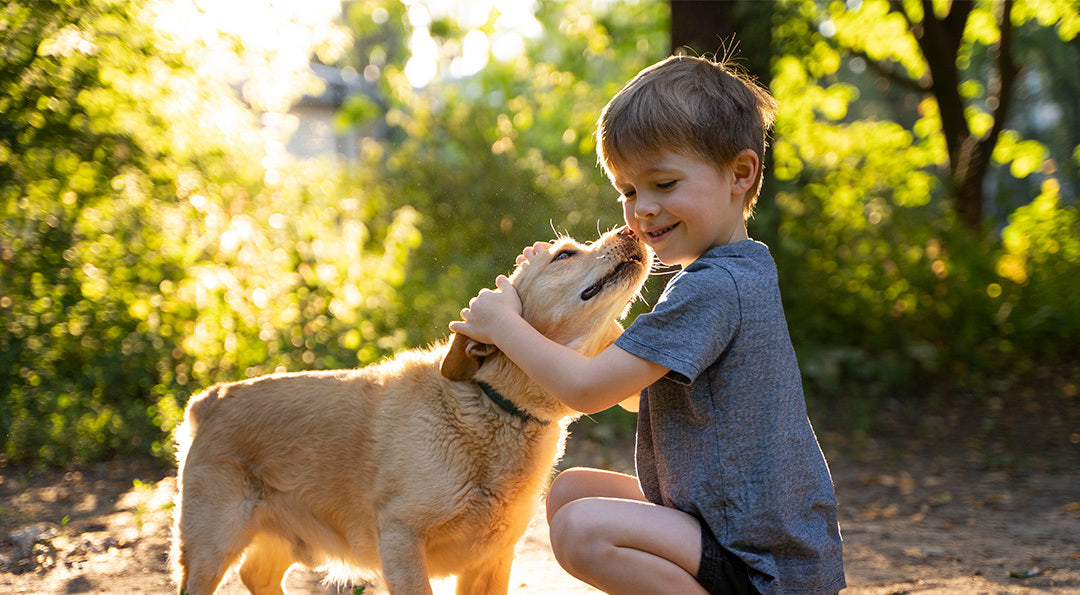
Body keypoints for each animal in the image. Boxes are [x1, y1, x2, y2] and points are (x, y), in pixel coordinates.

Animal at [170, 225, 648, 591]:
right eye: (565, 254)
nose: (631, 230)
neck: (494, 408)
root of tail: (212, 398)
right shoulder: (401, 540)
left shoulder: (491, 560)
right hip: (211, 550)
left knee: (257, 577)